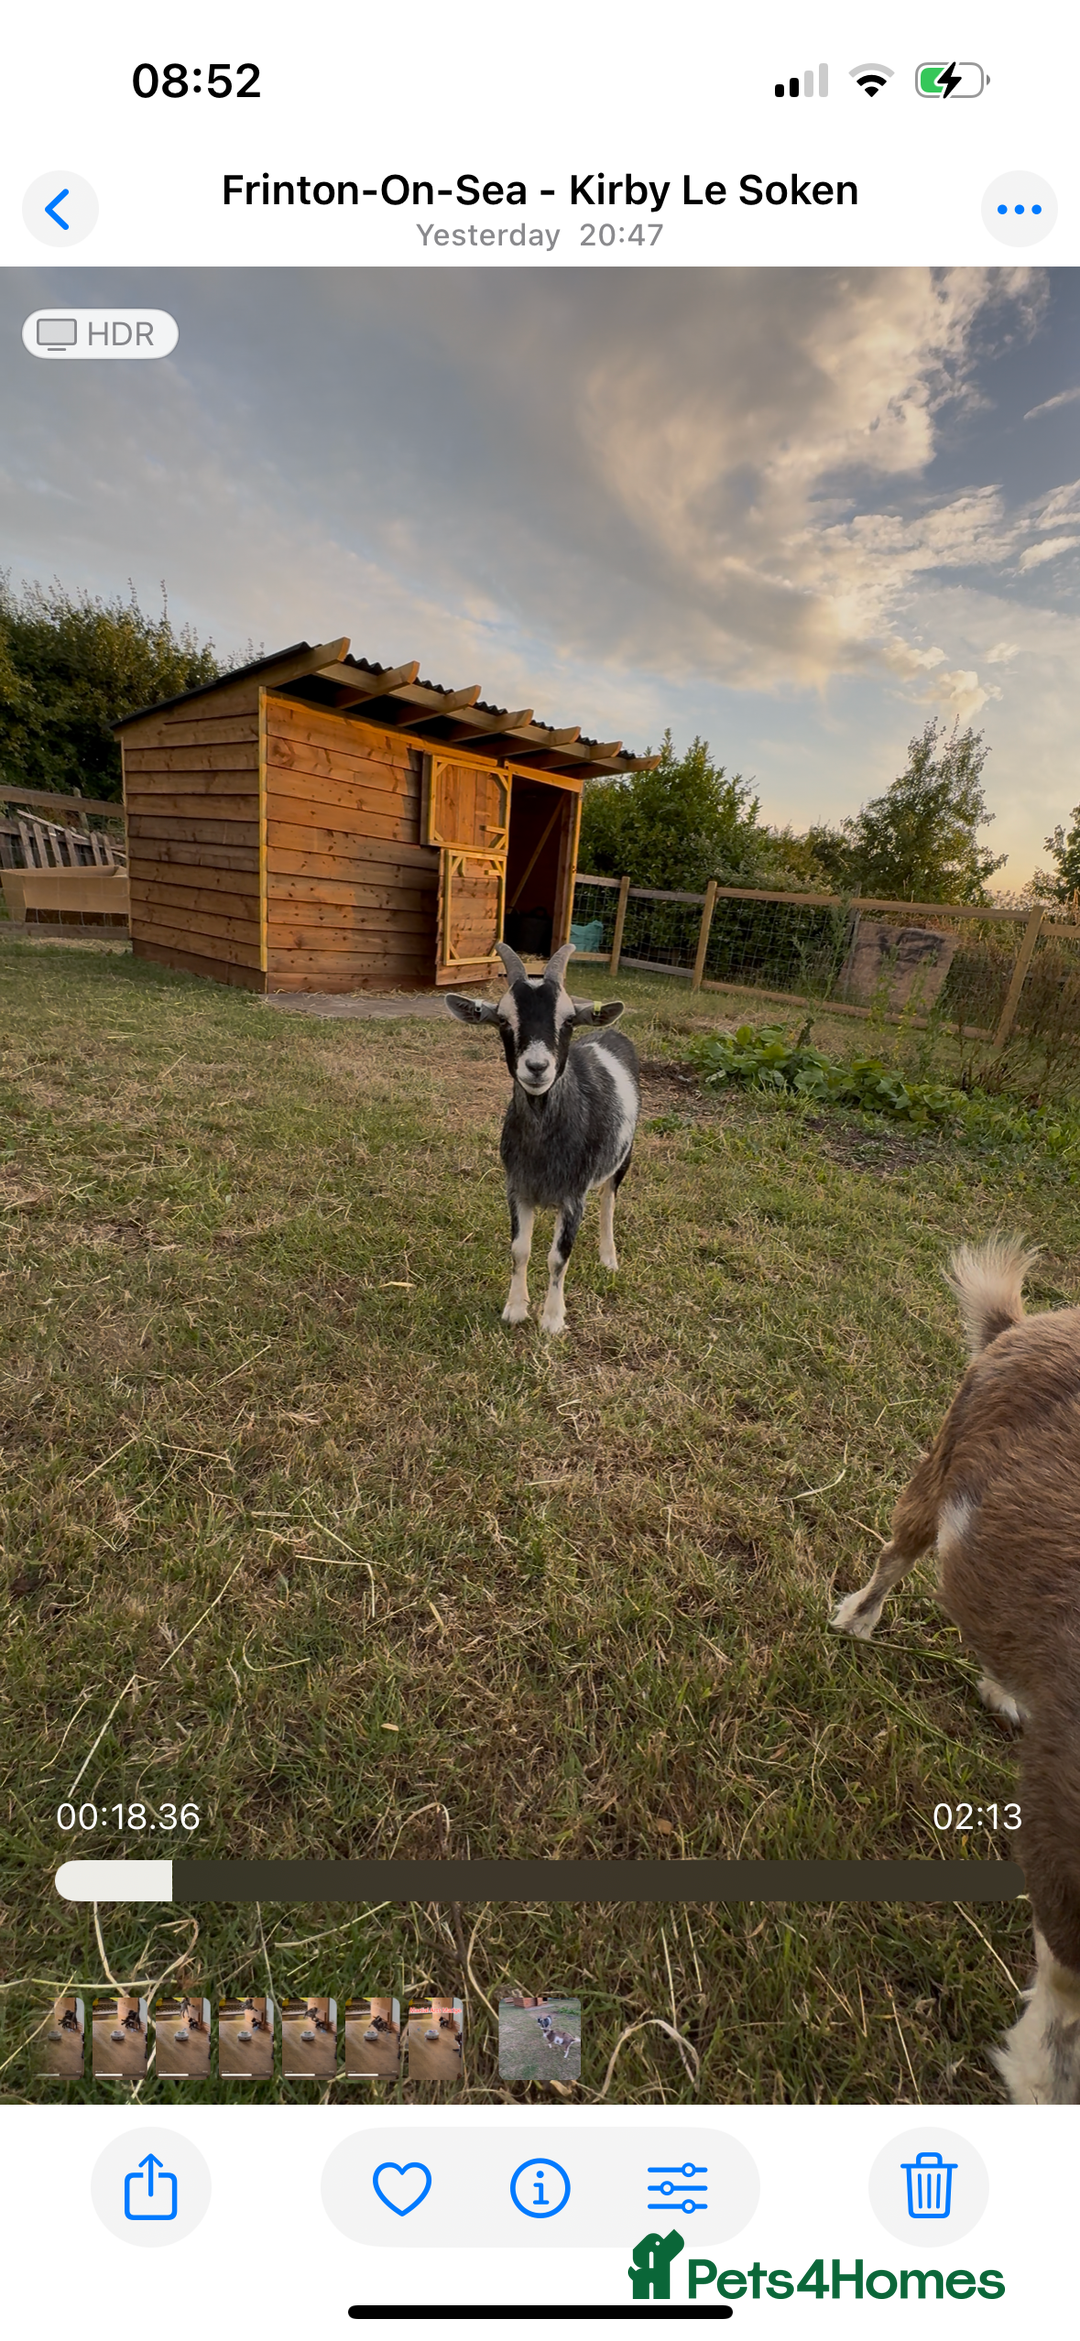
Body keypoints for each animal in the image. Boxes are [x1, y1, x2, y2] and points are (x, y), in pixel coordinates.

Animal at [447, 940, 639, 1335]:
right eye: (504, 1020)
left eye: (567, 1021)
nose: (537, 1068)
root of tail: (610, 1034)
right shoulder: (518, 1187)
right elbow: (520, 1249)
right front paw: (515, 1309)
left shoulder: (573, 1196)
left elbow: (558, 1257)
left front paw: (552, 1320)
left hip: (623, 1157)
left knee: (609, 1201)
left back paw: (608, 1257)